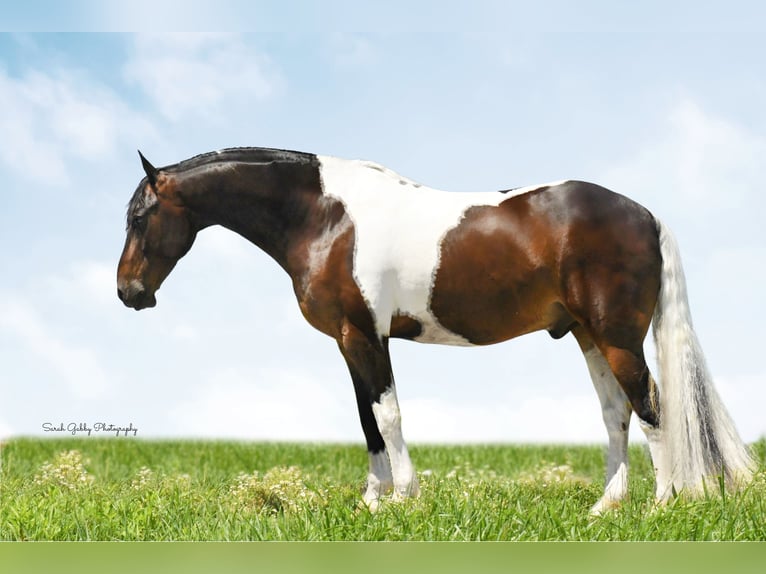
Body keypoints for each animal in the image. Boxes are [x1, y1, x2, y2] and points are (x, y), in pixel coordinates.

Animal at [115, 146, 756, 516]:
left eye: (140, 217)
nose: (128, 293)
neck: (324, 218)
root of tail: (644, 213)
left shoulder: (363, 335)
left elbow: (389, 415)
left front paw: (405, 499)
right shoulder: (350, 340)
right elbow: (367, 420)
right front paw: (372, 502)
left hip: (617, 337)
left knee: (651, 408)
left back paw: (662, 505)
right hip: (587, 335)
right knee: (616, 412)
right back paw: (607, 507)